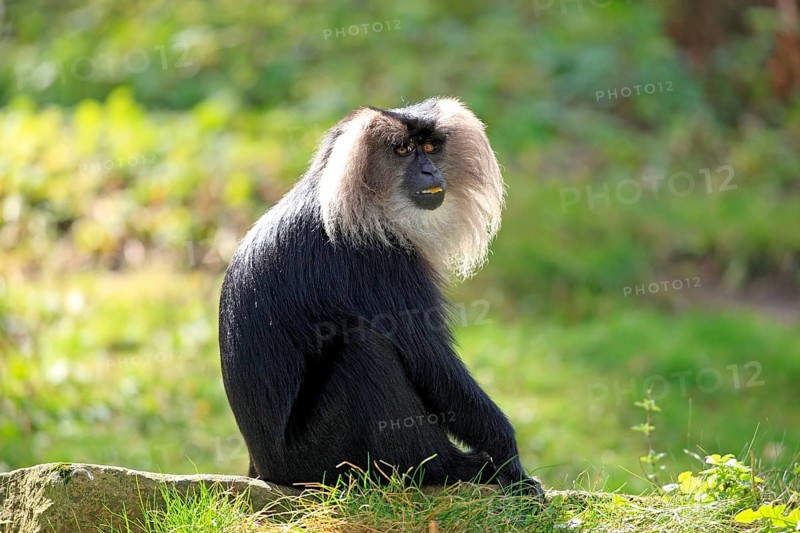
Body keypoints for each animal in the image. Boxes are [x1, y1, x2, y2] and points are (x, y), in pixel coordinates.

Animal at [218, 97, 542, 499]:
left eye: (430, 147)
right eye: (402, 150)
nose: (429, 171)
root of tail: (266, 470)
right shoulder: (380, 259)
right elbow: (429, 360)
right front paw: (508, 457)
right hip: (316, 459)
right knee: (365, 348)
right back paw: (453, 467)